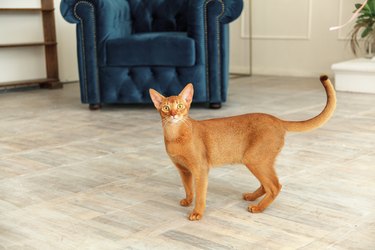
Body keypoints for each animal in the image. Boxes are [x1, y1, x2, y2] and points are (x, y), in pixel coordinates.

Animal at [150, 75, 338, 221]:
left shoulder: (200, 169)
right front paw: (188, 200)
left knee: (275, 186)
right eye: (166, 108)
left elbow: (201, 195)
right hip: (260, 161)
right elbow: (188, 188)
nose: (174, 115)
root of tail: (277, 120)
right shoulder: (183, 170)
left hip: (254, 159)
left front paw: (197, 212)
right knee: (267, 184)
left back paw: (258, 208)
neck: (175, 135)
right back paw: (252, 197)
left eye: (180, 106)